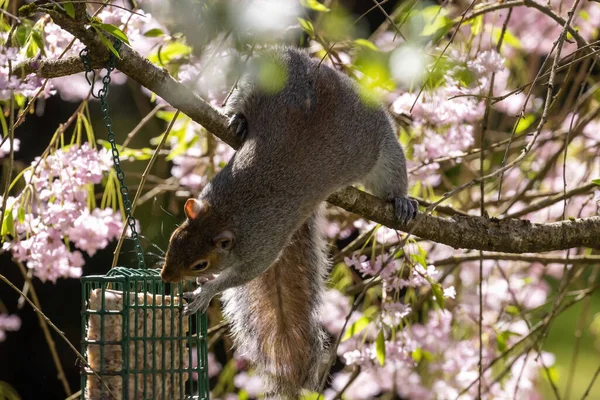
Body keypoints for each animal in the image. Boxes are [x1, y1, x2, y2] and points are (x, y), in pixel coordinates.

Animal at [162, 46, 420, 396]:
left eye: (200, 264)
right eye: (174, 239)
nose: (165, 277)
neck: (226, 214)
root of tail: (316, 65)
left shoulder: (263, 245)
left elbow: (244, 274)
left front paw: (206, 292)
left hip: (384, 153)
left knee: (391, 174)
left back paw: (401, 200)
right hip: (258, 79)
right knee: (241, 99)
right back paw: (238, 119)